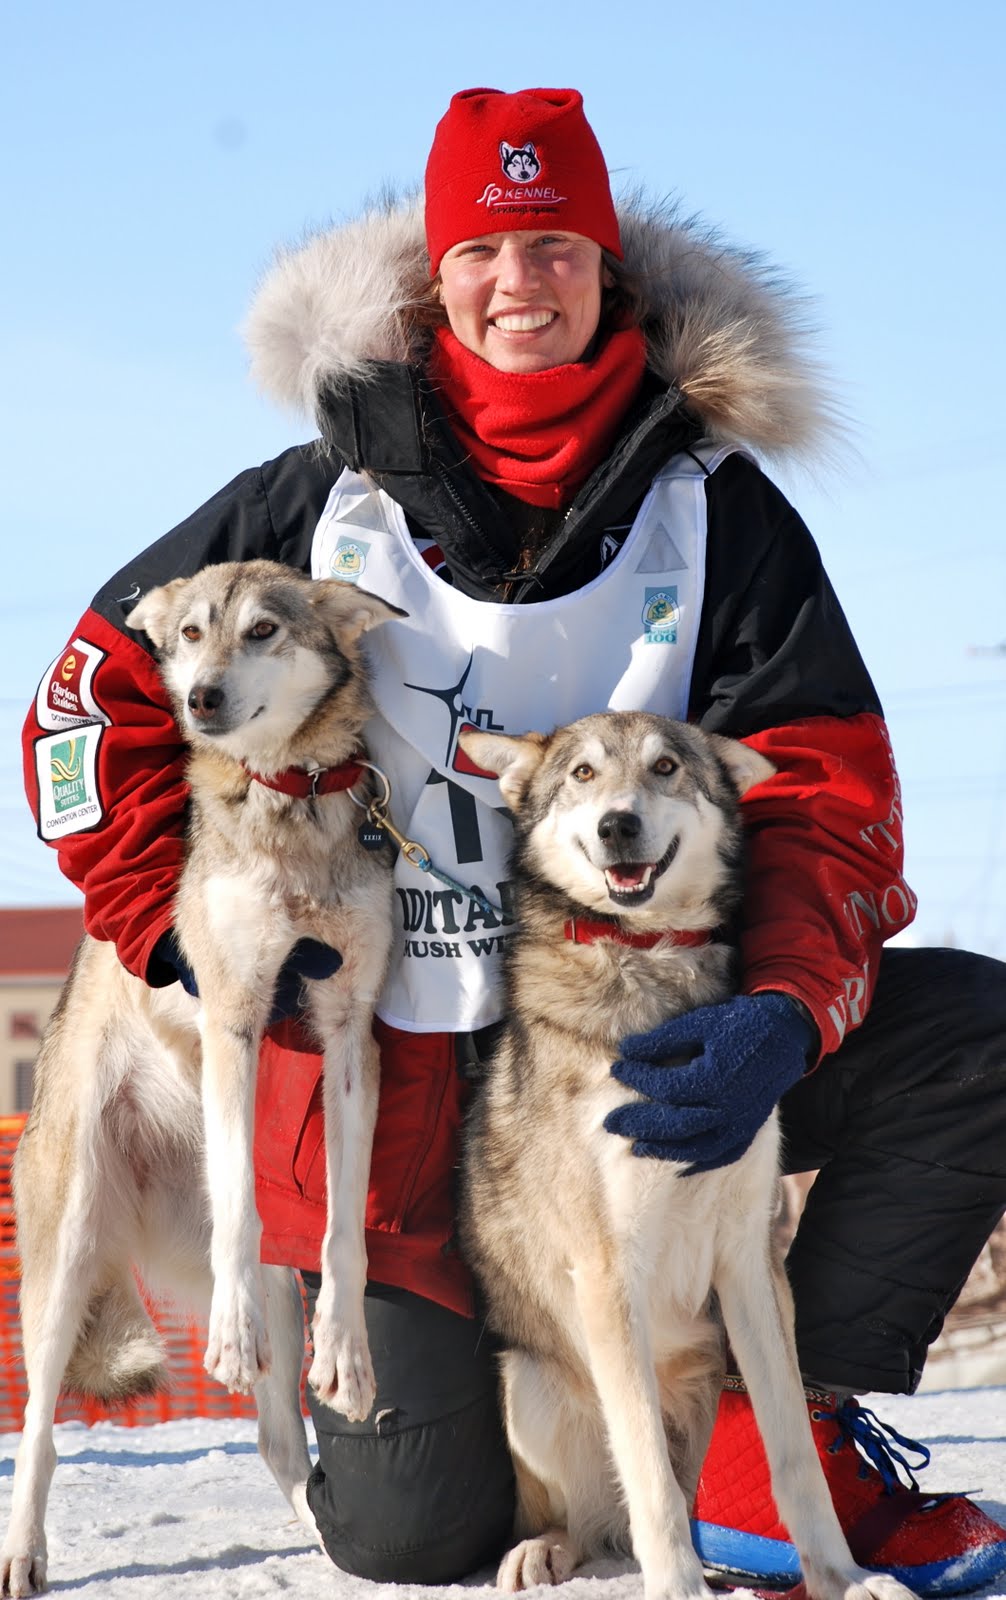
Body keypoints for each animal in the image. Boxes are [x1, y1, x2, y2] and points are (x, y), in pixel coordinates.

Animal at [2, 561, 403, 1596]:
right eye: (189, 634)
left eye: (263, 630)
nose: (201, 699)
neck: (289, 800)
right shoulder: (231, 1019)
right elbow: (240, 1209)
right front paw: (223, 1332)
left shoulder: (349, 1035)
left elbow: (346, 1232)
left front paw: (349, 1351)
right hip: (65, 1253)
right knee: (41, 1430)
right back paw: (24, 1551)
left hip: (276, 1287)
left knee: (274, 1435)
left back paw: (329, 1541)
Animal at [457, 711, 916, 1600]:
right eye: (582, 774)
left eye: (666, 767)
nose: (617, 825)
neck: (651, 963)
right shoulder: (607, 1271)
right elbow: (650, 1484)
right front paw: (676, 1587)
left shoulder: (749, 1259)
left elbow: (795, 1460)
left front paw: (843, 1577)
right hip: (527, 1387)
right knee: (594, 1518)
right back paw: (543, 1550)